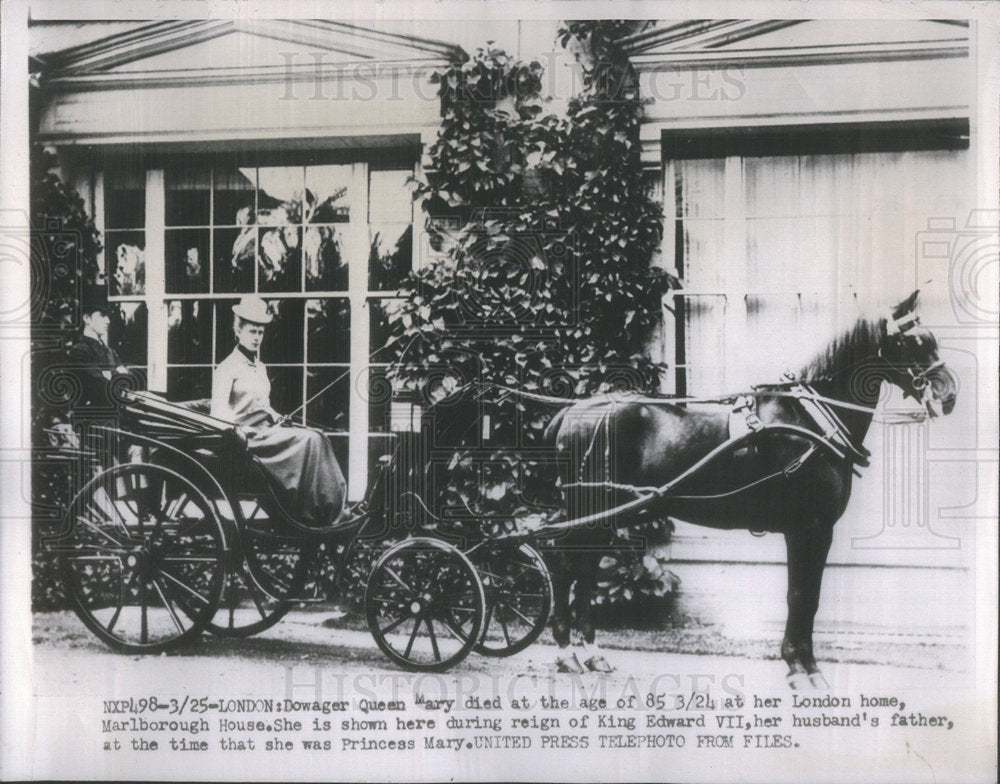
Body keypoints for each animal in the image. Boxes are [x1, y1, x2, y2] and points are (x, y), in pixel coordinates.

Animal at [548, 290, 960, 688]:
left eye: (931, 338)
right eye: (910, 341)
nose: (949, 395)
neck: (810, 421)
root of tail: (573, 411)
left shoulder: (814, 530)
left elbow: (808, 597)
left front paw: (804, 665)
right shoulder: (809, 528)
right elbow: (801, 596)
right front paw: (800, 668)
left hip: (606, 515)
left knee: (585, 569)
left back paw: (592, 652)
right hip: (589, 510)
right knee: (566, 567)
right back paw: (568, 651)